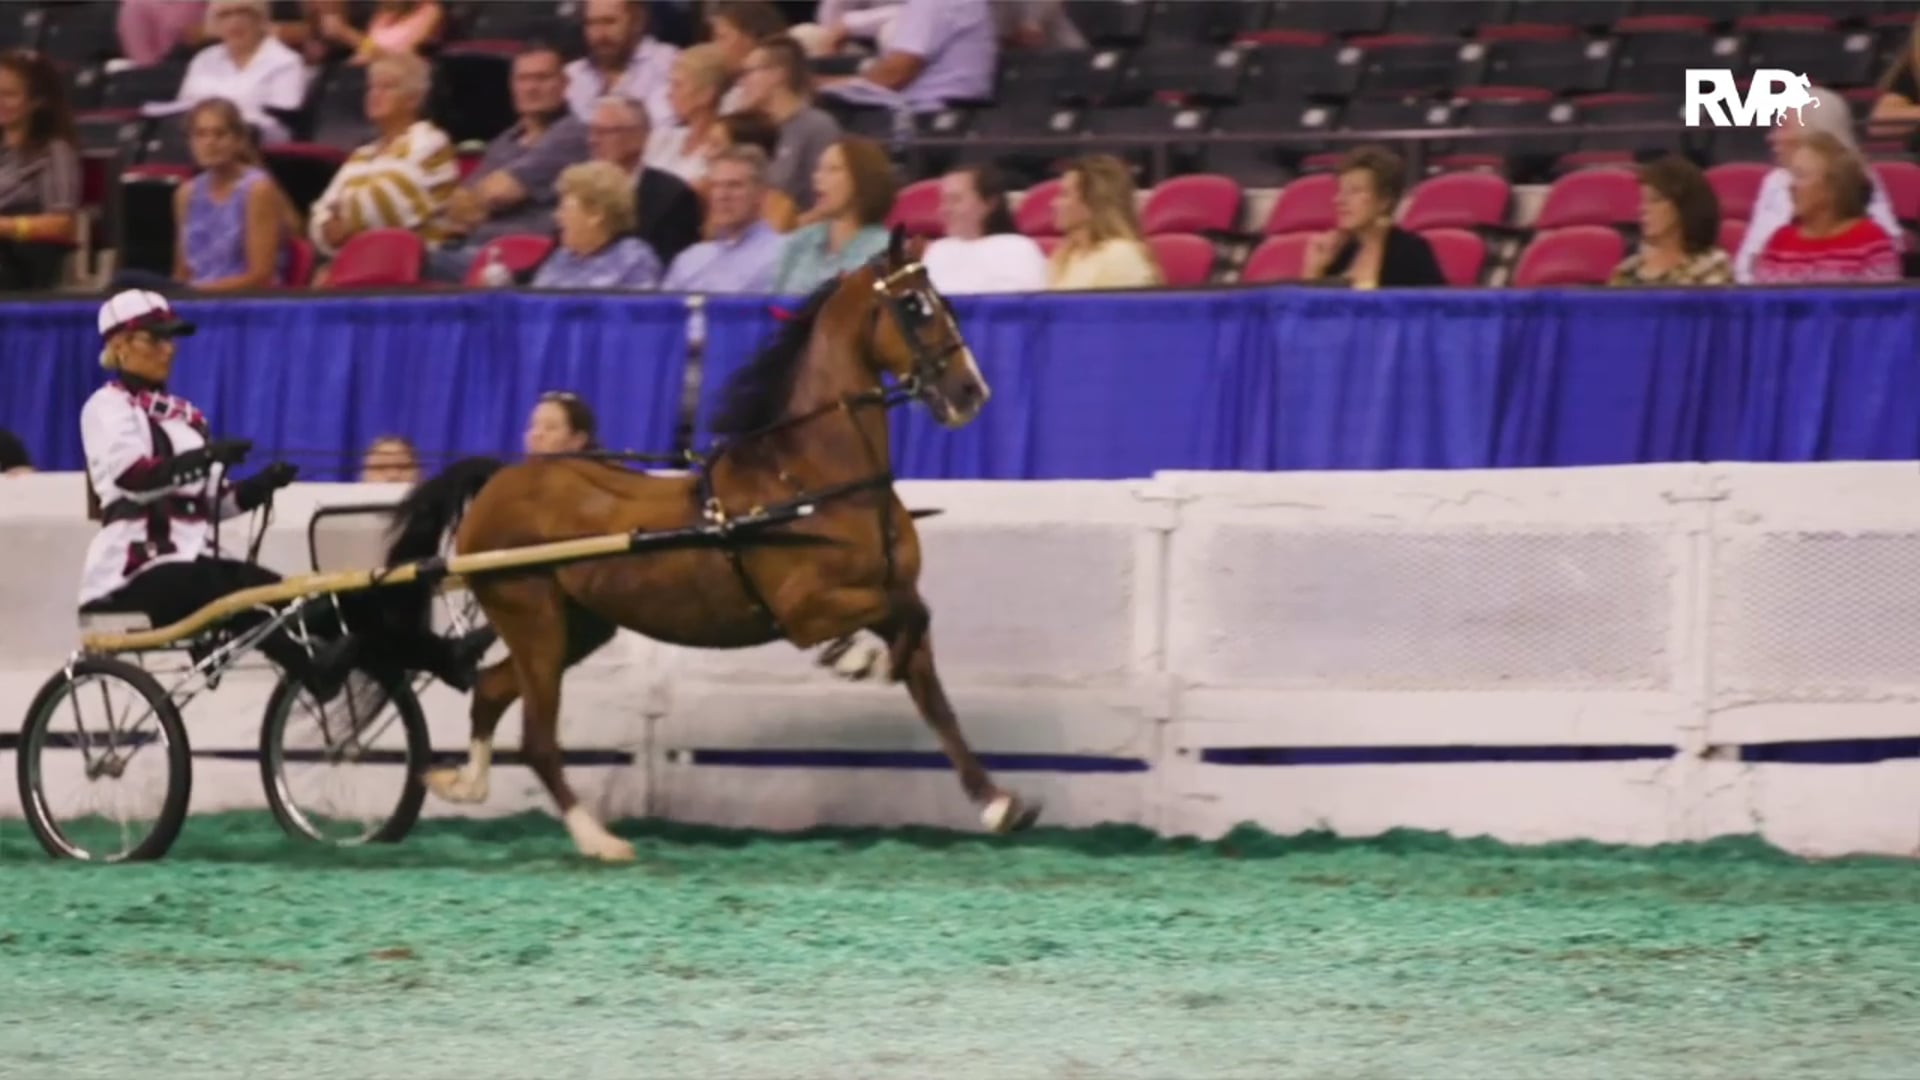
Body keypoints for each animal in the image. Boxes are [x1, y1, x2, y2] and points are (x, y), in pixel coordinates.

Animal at [383, 228, 1041, 861]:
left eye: (944, 301)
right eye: (914, 306)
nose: (971, 391)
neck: (809, 480)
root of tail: (501, 479)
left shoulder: (884, 593)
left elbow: (936, 697)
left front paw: (999, 804)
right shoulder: (806, 610)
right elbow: (906, 622)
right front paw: (858, 658)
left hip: (578, 625)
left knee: (491, 691)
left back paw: (461, 784)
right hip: (534, 618)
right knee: (538, 739)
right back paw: (600, 841)